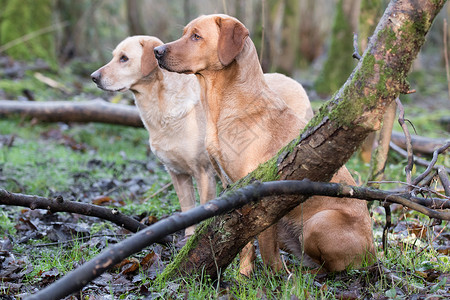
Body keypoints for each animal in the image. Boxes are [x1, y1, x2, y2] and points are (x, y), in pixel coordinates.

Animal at [91, 35, 314, 241]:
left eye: (124, 58)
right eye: (114, 56)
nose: (93, 77)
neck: (160, 111)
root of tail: (295, 82)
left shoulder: (203, 172)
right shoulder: (176, 173)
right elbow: (187, 208)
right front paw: (188, 237)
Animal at [155, 14, 376, 276]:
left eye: (196, 36)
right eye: (185, 33)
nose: (157, 51)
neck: (220, 108)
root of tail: (374, 252)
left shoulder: (261, 193)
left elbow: (266, 248)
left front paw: (269, 277)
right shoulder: (231, 187)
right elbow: (244, 242)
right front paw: (243, 277)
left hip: (318, 222)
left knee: (331, 269)